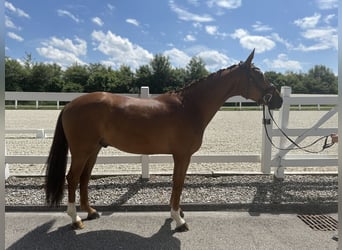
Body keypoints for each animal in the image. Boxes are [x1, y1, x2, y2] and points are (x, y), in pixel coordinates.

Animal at [45, 49, 284, 231]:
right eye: (259, 76)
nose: (279, 100)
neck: (190, 107)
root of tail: (70, 104)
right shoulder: (182, 156)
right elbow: (178, 184)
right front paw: (179, 220)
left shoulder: (181, 156)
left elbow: (178, 184)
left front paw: (178, 213)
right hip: (81, 151)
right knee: (72, 178)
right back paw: (75, 219)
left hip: (93, 150)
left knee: (84, 178)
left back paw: (91, 212)